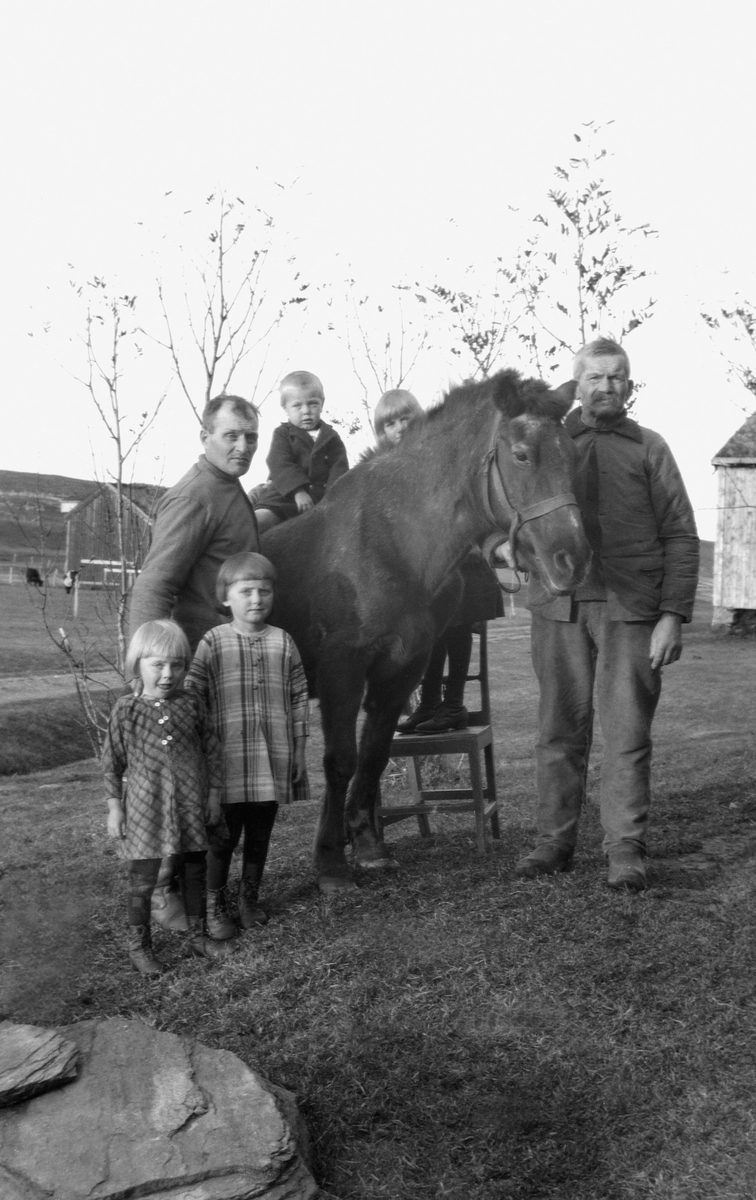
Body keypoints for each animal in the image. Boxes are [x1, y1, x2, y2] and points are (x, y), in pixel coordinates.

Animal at [261, 372, 592, 892]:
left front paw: (368, 845)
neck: (391, 540)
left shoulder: (401, 668)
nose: (572, 560)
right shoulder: (343, 669)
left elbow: (373, 754)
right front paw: (330, 862)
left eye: (573, 458)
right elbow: (340, 760)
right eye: (521, 455)